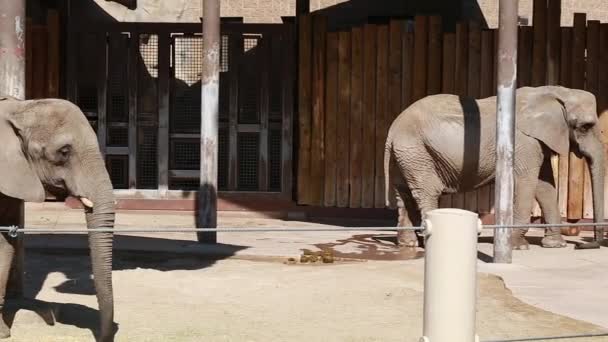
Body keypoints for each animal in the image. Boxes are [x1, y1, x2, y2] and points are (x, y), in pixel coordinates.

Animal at [384, 86, 604, 248]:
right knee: (427, 192)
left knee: (404, 194)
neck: (556, 92)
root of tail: (392, 130)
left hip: (407, 155)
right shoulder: (524, 142)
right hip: (415, 150)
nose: (586, 244)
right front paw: (518, 246)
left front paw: (555, 245)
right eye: (586, 127)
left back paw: (408, 245)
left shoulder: (536, 141)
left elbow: (545, 186)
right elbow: (526, 182)